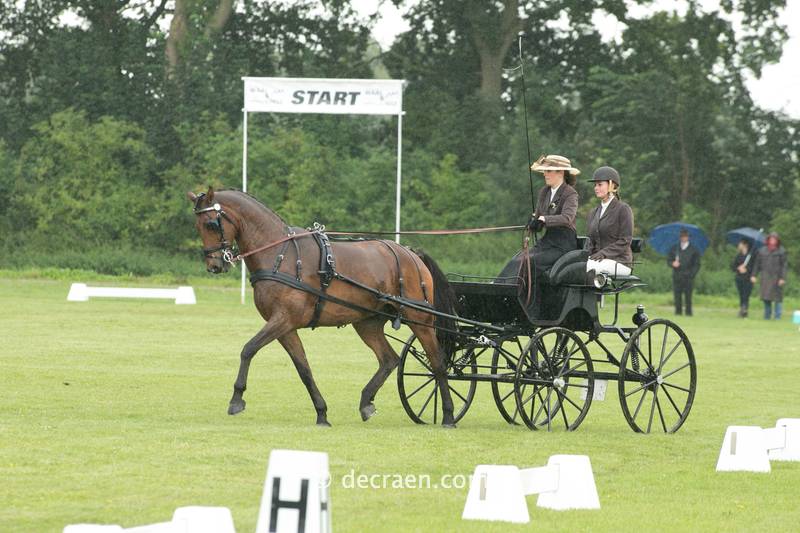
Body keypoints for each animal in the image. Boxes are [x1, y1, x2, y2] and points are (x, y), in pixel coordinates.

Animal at [188, 188, 460, 428]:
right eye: (197, 226)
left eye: (211, 224)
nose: (214, 266)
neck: (279, 254)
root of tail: (411, 253)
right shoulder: (285, 327)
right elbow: (303, 369)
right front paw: (322, 413)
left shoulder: (283, 319)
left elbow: (248, 349)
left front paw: (236, 399)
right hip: (367, 323)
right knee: (388, 359)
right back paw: (366, 402)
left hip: (419, 317)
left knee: (437, 363)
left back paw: (448, 415)